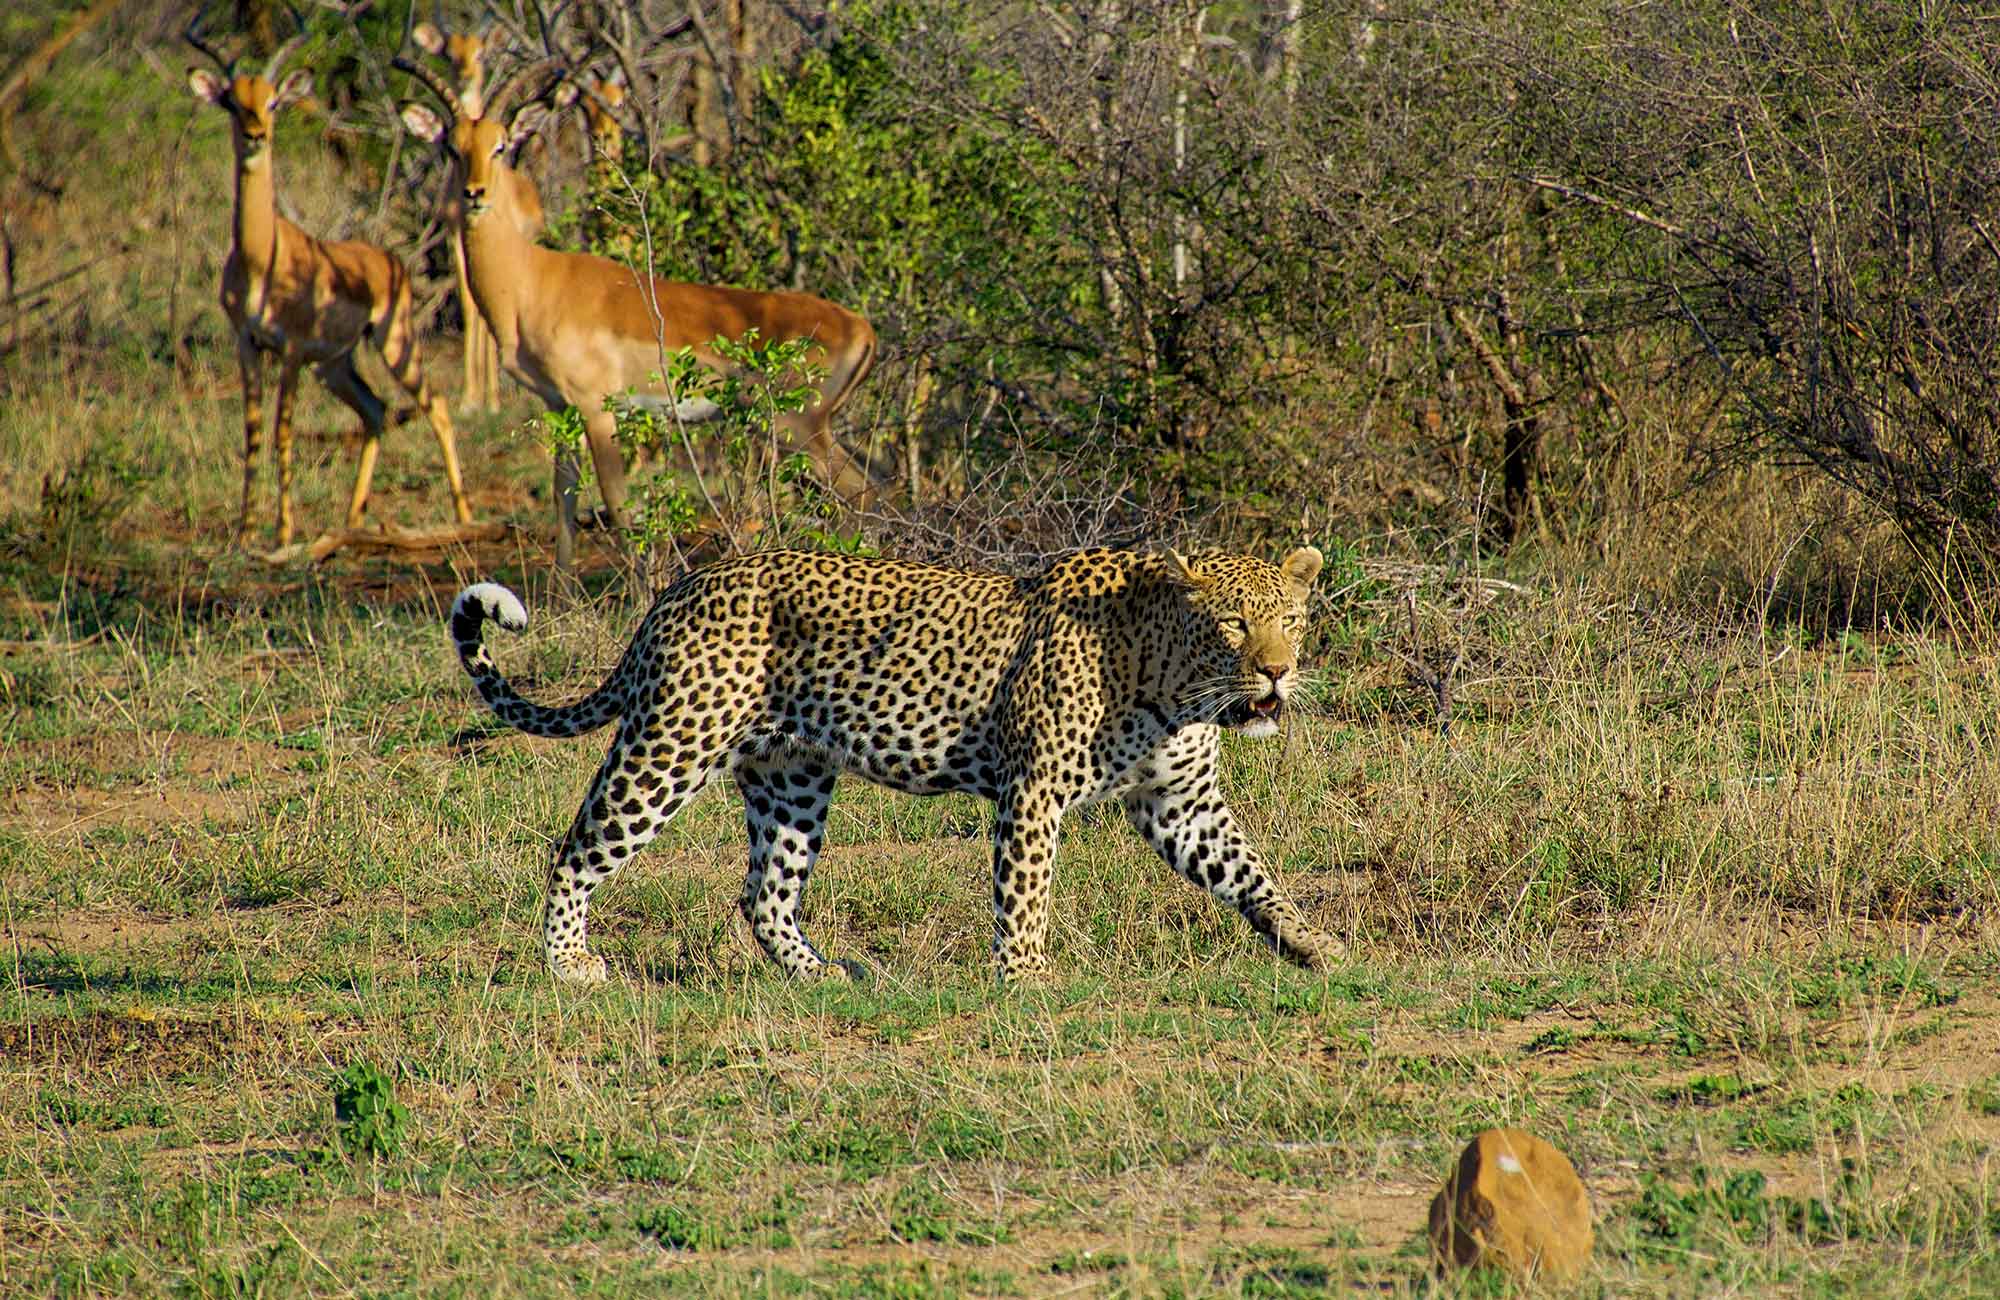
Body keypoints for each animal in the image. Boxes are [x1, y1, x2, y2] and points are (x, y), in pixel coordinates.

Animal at [449, 545, 1341, 984]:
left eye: (1293, 620)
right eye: (1233, 623)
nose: (1276, 671)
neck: (1179, 683)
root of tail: (680, 588)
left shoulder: (1181, 802)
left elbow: (1252, 872)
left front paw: (1312, 945)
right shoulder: (1034, 791)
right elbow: (1026, 893)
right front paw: (1027, 979)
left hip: (791, 774)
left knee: (764, 892)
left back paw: (820, 976)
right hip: (672, 744)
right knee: (575, 851)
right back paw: (569, 965)